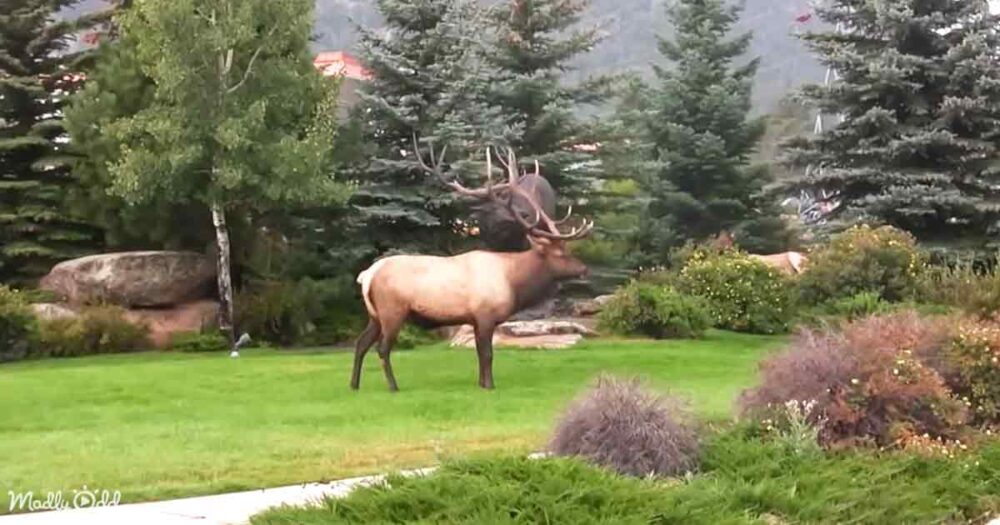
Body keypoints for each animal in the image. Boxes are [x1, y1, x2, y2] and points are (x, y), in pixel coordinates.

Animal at [350, 141, 594, 392]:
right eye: (560, 253)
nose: (584, 269)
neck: (513, 282)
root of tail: (367, 275)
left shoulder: (475, 319)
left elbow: (478, 353)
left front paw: (480, 383)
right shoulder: (485, 314)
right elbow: (487, 354)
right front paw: (490, 386)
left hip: (375, 315)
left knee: (360, 343)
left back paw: (354, 385)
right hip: (392, 310)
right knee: (382, 348)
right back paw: (393, 386)